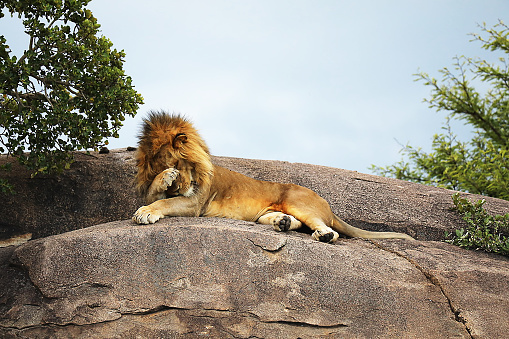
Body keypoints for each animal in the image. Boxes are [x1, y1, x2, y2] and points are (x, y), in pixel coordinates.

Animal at [132, 110, 412, 243]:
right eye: (164, 168)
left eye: (179, 163)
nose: (180, 187)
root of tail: (329, 206)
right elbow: (155, 193)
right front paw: (161, 183)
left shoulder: (194, 203)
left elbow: (164, 202)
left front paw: (145, 212)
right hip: (266, 213)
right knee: (295, 223)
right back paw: (282, 223)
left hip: (298, 202)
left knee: (328, 229)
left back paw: (321, 235)